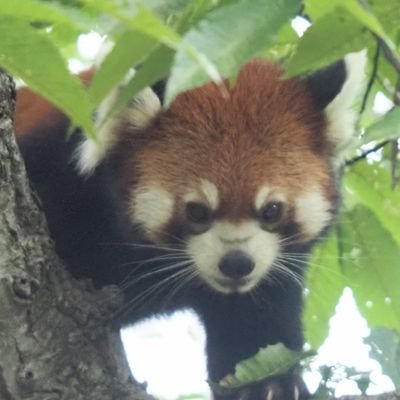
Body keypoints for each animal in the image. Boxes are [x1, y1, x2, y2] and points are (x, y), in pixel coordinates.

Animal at [14, 54, 366, 400]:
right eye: (197, 211)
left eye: (272, 210)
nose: (237, 263)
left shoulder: (271, 273)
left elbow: (255, 327)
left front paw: (269, 385)